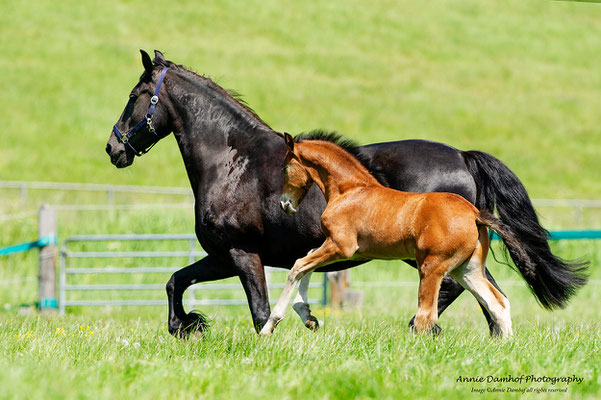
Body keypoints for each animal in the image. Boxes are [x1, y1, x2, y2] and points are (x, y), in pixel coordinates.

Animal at [258, 134, 528, 338]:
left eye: (284, 168)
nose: (285, 204)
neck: (350, 191)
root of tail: (474, 213)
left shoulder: (341, 247)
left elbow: (298, 266)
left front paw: (270, 325)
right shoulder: (340, 249)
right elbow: (307, 261)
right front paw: (308, 316)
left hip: (432, 267)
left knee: (426, 315)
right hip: (467, 269)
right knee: (498, 303)